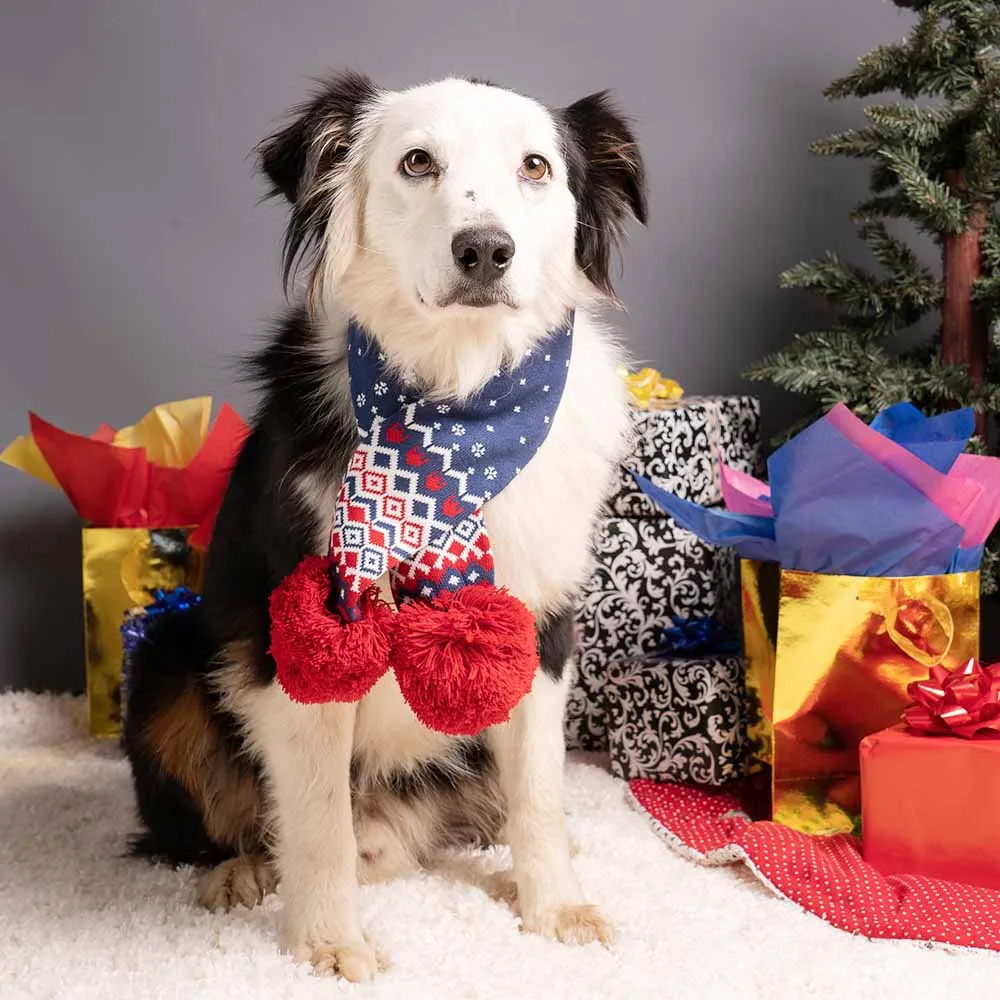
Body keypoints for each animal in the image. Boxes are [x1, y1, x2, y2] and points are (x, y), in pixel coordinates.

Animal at [123, 74, 648, 980]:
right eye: (417, 162)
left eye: (536, 167)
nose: (485, 250)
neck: (457, 407)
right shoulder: (297, 638)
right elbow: (317, 818)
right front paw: (328, 941)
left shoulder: (540, 624)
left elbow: (539, 791)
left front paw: (554, 908)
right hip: (166, 655)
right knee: (213, 825)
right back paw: (240, 870)